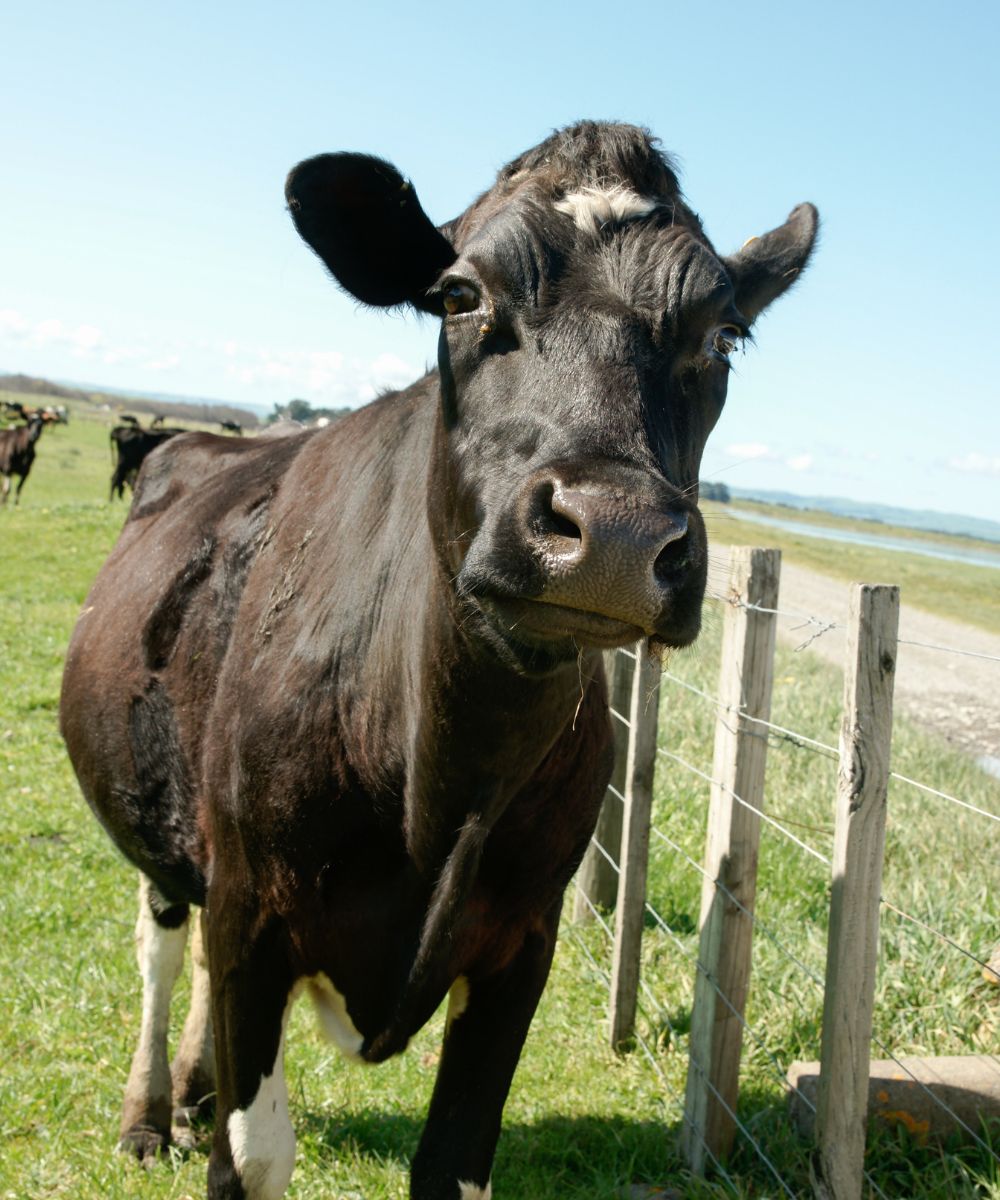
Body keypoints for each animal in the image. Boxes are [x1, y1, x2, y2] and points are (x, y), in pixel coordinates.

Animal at [58, 117, 816, 1195]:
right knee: (165, 946)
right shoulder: (254, 907)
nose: (616, 532)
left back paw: (195, 1093)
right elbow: (254, 1153)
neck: (443, 777)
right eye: (460, 295)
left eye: (723, 334)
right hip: (162, 814)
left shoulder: (523, 940)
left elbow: (454, 1160)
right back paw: (151, 1114)